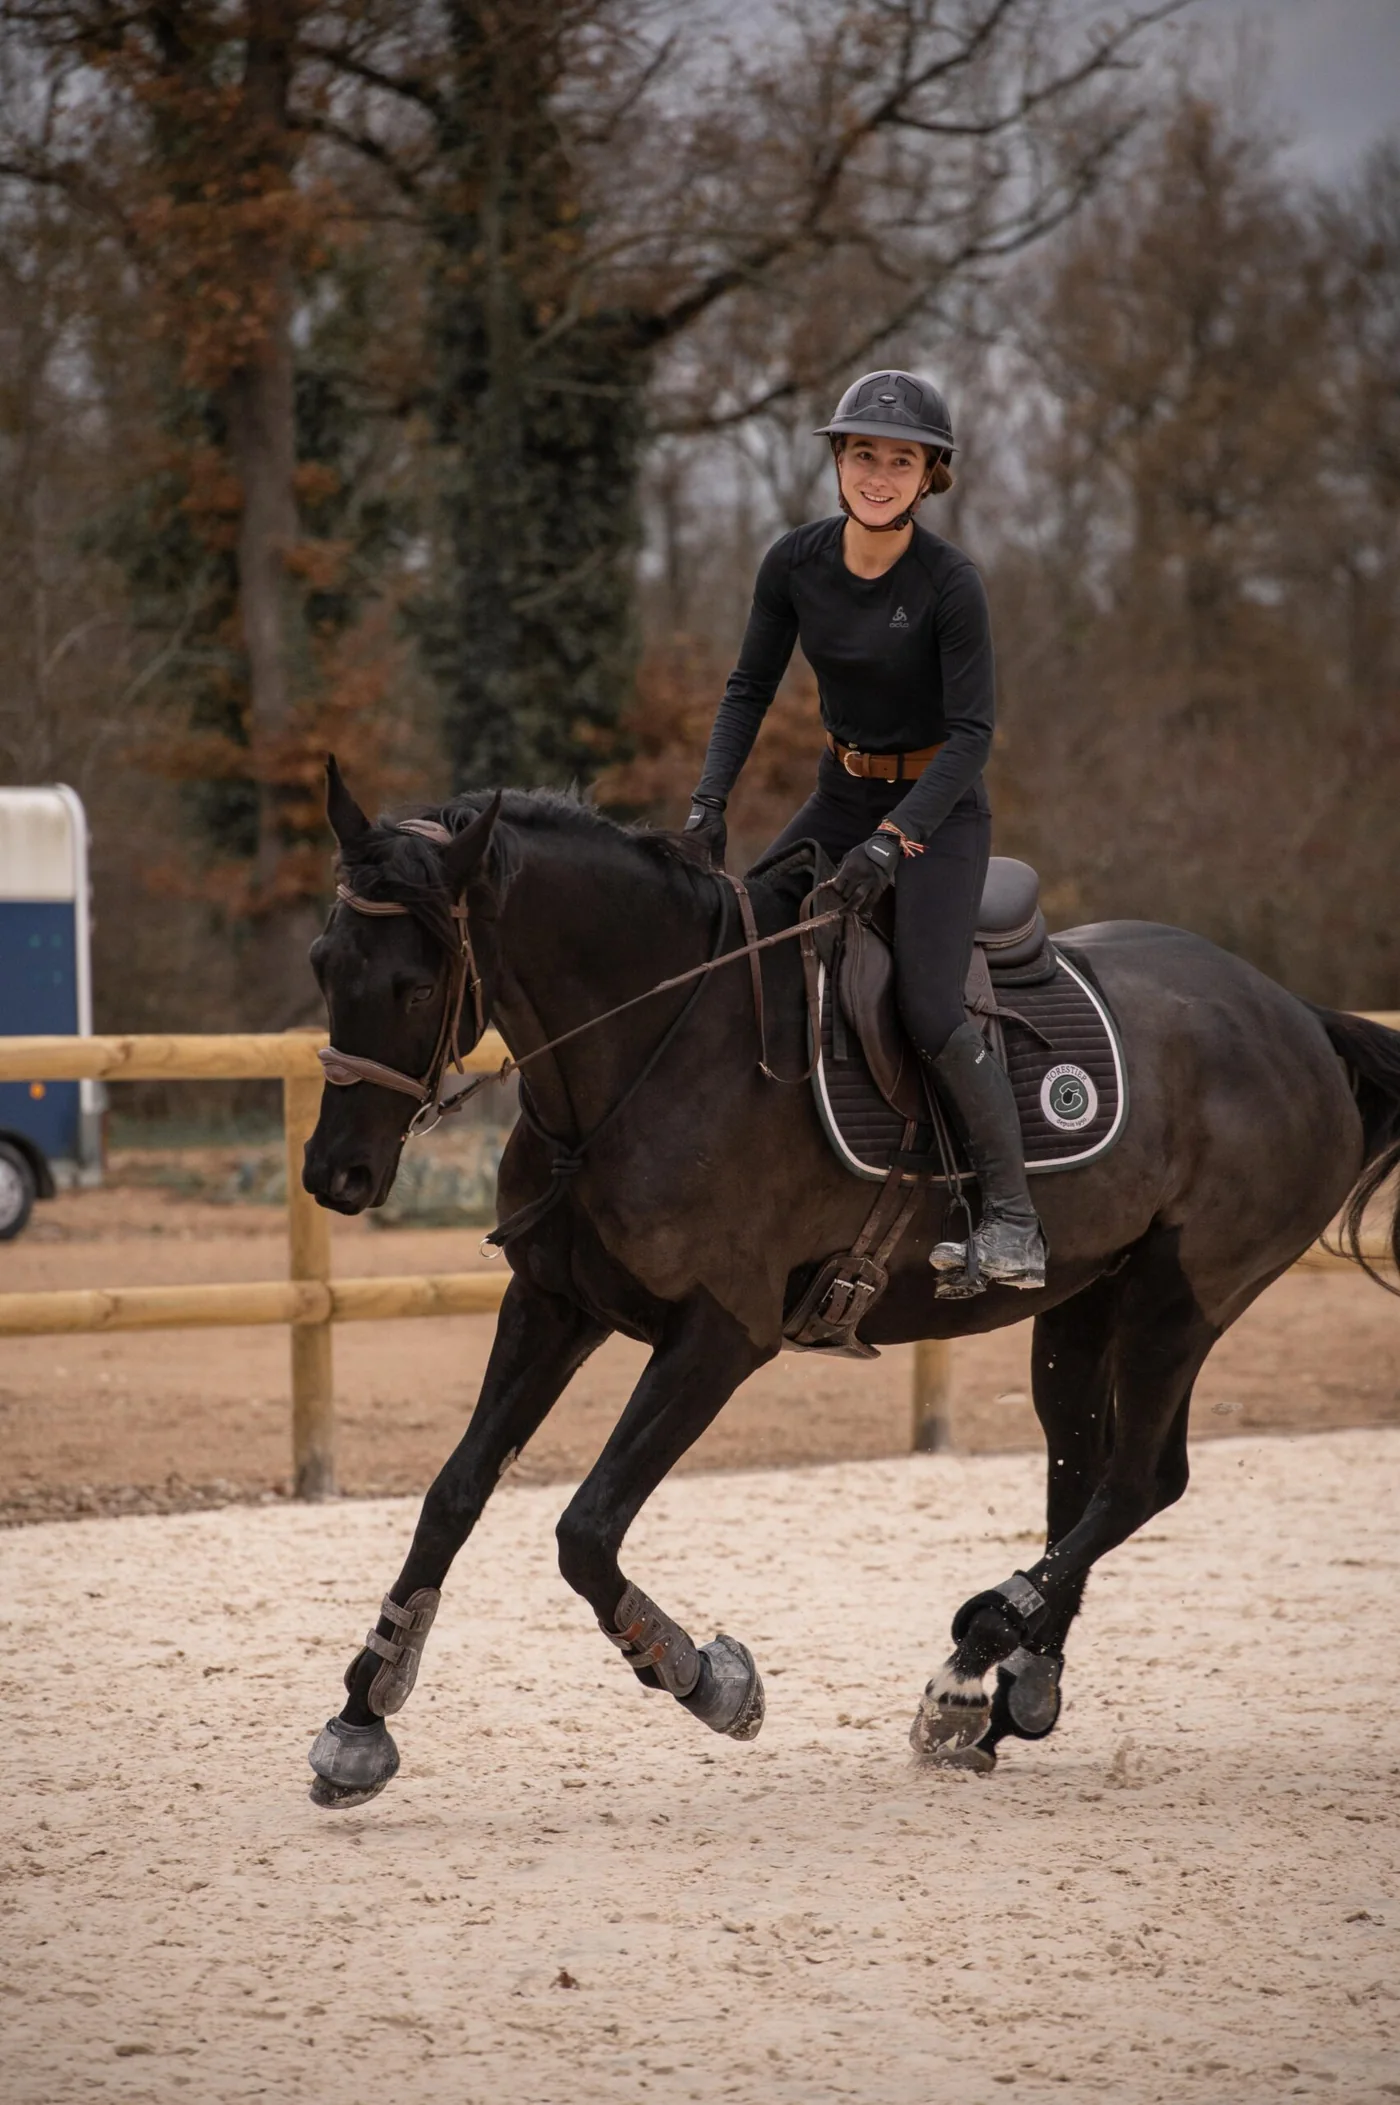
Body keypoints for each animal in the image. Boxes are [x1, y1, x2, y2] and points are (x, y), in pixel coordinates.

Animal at [300, 760, 1400, 1806]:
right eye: (323, 963)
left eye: (414, 985)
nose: (333, 1174)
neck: (655, 1047)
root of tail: (1296, 1017)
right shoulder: (552, 1302)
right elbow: (452, 1495)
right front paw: (361, 1720)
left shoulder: (719, 1335)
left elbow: (585, 1530)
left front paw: (710, 1679)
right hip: (1084, 1302)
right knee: (1079, 1469)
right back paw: (1013, 1695)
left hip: (1183, 1296)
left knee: (1139, 1477)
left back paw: (973, 1656)